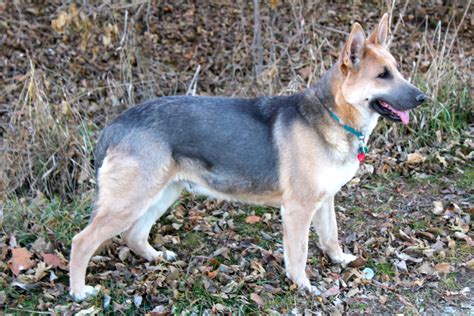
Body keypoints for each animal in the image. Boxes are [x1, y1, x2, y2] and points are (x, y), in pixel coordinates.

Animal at [69, 13, 426, 300]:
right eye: (382, 75)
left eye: (397, 70)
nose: (423, 97)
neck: (334, 115)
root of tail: (116, 124)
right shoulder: (297, 210)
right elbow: (299, 252)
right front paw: (303, 284)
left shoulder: (325, 200)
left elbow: (331, 236)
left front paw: (339, 260)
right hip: (130, 200)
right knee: (82, 241)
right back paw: (79, 291)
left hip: (163, 193)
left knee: (134, 234)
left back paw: (155, 257)